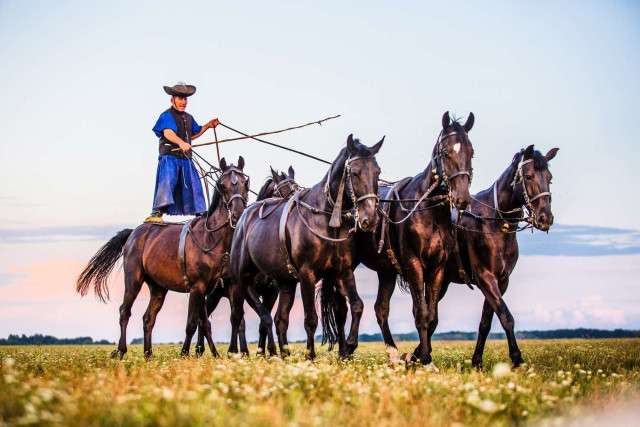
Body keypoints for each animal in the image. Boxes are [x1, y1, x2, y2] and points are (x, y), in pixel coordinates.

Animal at [76, 157, 250, 359]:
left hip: (158, 288)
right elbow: (192, 323)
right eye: (222, 185)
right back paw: (121, 350)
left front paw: (215, 355)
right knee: (124, 311)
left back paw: (148, 354)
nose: (237, 213)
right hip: (133, 279)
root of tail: (134, 233)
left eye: (245, 182)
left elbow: (206, 323)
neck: (211, 238)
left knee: (148, 318)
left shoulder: (211, 288)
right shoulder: (197, 287)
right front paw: (184, 354)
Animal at [193, 166, 300, 357]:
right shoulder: (247, 289)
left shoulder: (271, 292)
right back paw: (201, 349)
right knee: (204, 316)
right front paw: (269, 351)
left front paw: (265, 352)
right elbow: (263, 317)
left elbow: (263, 321)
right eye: (284, 192)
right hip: (215, 294)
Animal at [228, 134, 384, 359]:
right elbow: (311, 318)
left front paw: (349, 345)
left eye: (377, 172)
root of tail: (243, 219)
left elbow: (356, 306)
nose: (369, 219)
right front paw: (310, 355)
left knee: (279, 319)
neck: (326, 218)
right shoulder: (306, 274)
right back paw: (238, 351)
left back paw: (283, 354)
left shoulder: (343, 271)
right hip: (241, 279)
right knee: (239, 315)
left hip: (285, 283)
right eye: (354, 172)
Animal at [323, 111, 475, 363]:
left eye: (471, 152)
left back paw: (392, 353)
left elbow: (431, 314)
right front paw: (424, 357)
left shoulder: (437, 267)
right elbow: (421, 312)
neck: (427, 210)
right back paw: (346, 349)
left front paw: (418, 356)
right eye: (445, 152)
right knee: (340, 307)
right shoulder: (414, 264)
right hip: (346, 266)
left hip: (386, 271)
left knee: (381, 309)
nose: (462, 198)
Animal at [430, 145, 558, 368]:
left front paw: (476, 362)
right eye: (529, 176)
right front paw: (517, 359)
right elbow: (506, 317)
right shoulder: (485, 277)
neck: (495, 223)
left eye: (549, 178)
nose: (545, 218)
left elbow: (486, 322)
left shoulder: (502, 280)